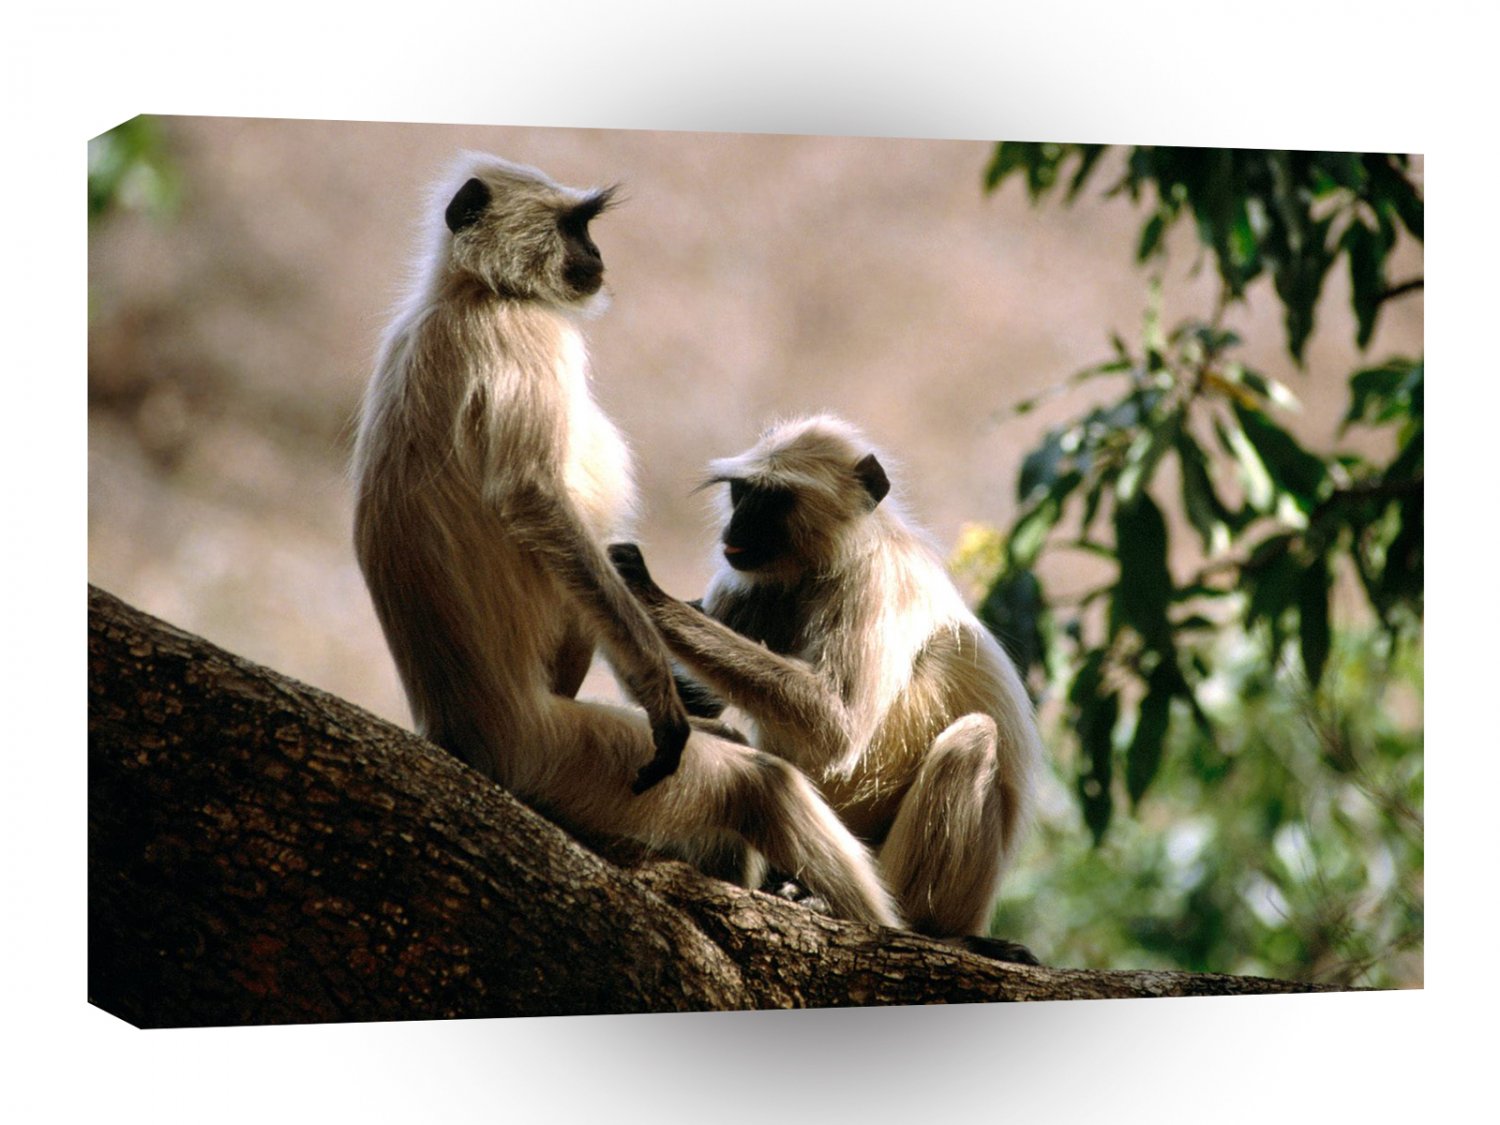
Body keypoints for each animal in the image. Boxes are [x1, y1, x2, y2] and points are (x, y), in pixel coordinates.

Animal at [351, 154, 900, 930]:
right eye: (575, 226)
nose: (597, 256)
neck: (469, 295)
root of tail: (460, 736)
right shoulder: (523, 334)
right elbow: (532, 499)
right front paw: (662, 697)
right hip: (559, 755)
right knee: (761, 786)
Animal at [608, 415, 1044, 955]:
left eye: (772, 501)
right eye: (741, 493)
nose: (737, 526)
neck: (826, 565)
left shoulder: (876, 581)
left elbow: (837, 728)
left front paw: (646, 592)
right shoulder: (750, 582)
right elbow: (696, 703)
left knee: (974, 739)